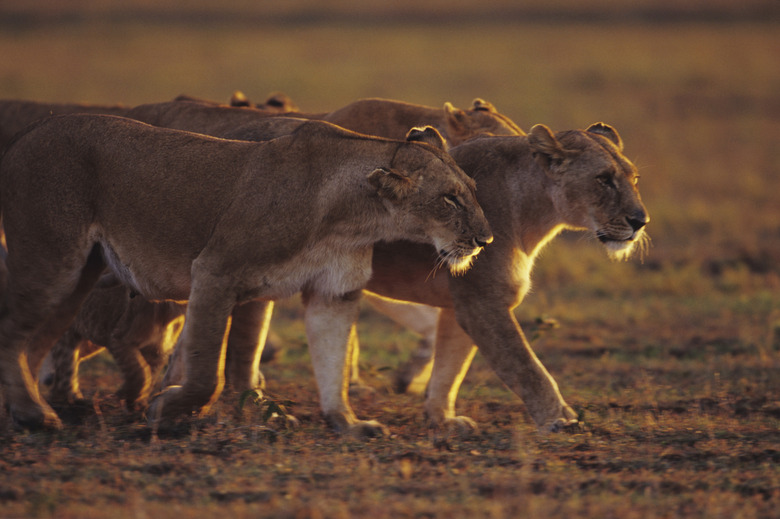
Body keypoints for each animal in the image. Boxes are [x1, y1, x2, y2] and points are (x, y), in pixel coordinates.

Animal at [0, 115, 488, 434]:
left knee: (34, 343)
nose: (486, 239)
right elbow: (205, 371)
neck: (354, 216)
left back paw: (31, 411)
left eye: (472, 192)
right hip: (52, 263)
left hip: (76, 278)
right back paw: (35, 415)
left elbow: (331, 363)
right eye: (449, 199)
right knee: (13, 333)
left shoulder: (334, 291)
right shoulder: (214, 271)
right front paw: (166, 409)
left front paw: (347, 422)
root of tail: (25, 137)